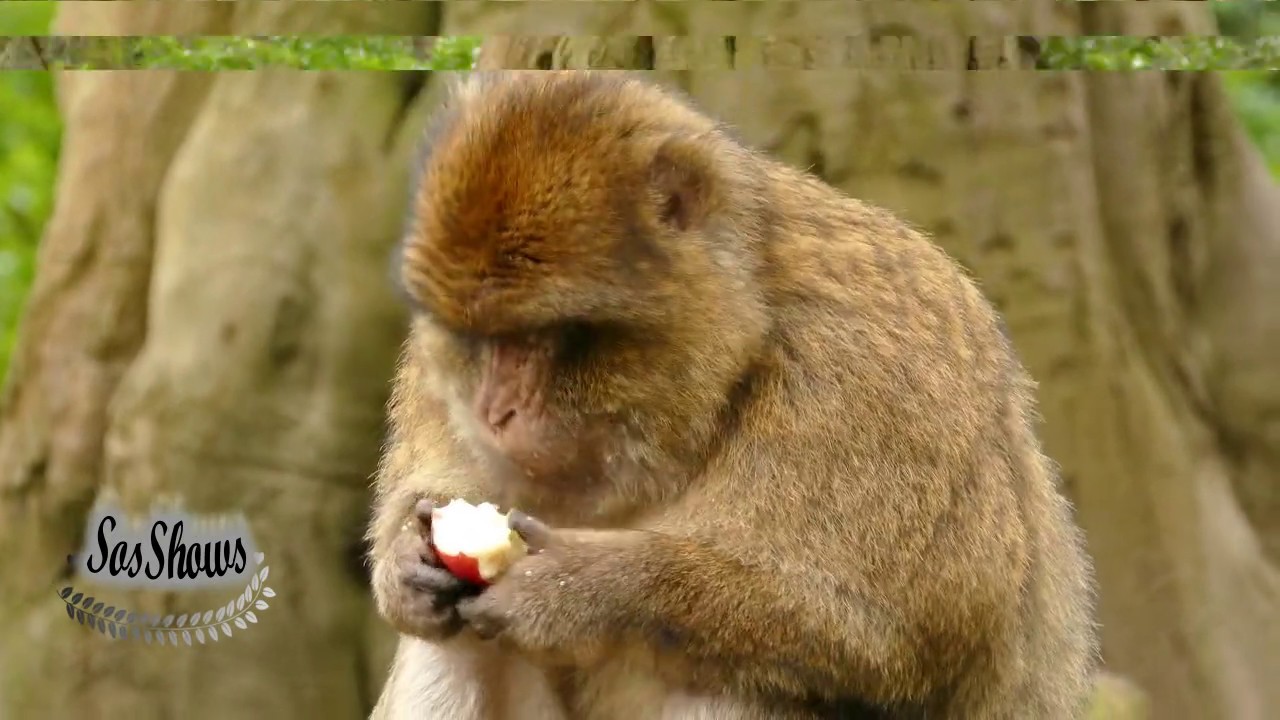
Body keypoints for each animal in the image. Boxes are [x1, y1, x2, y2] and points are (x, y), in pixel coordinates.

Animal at [366, 70, 1098, 719]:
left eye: (546, 335)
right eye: (474, 337)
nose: (493, 412)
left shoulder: (875, 379)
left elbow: (899, 640)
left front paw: (586, 588)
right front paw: (404, 558)